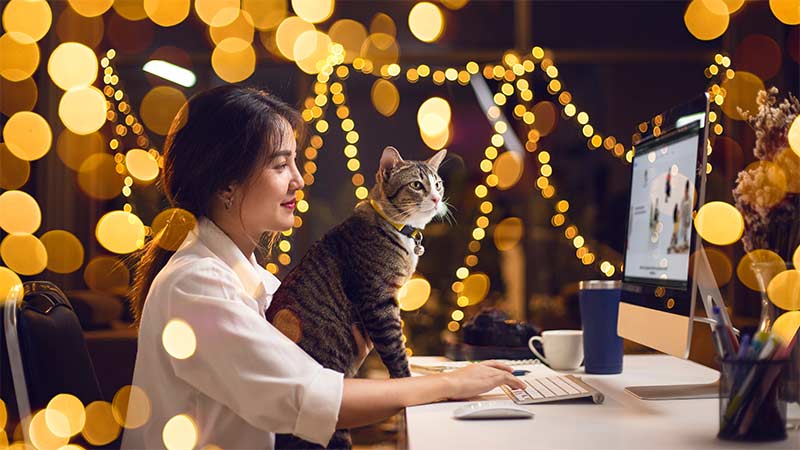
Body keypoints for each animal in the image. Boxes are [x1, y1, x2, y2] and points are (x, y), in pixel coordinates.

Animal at [266, 148, 446, 450]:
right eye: (417, 185)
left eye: (438, 184)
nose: (435, 198)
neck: (397, 227)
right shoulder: (378, 300)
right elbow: (395, 348)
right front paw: (406, 381)